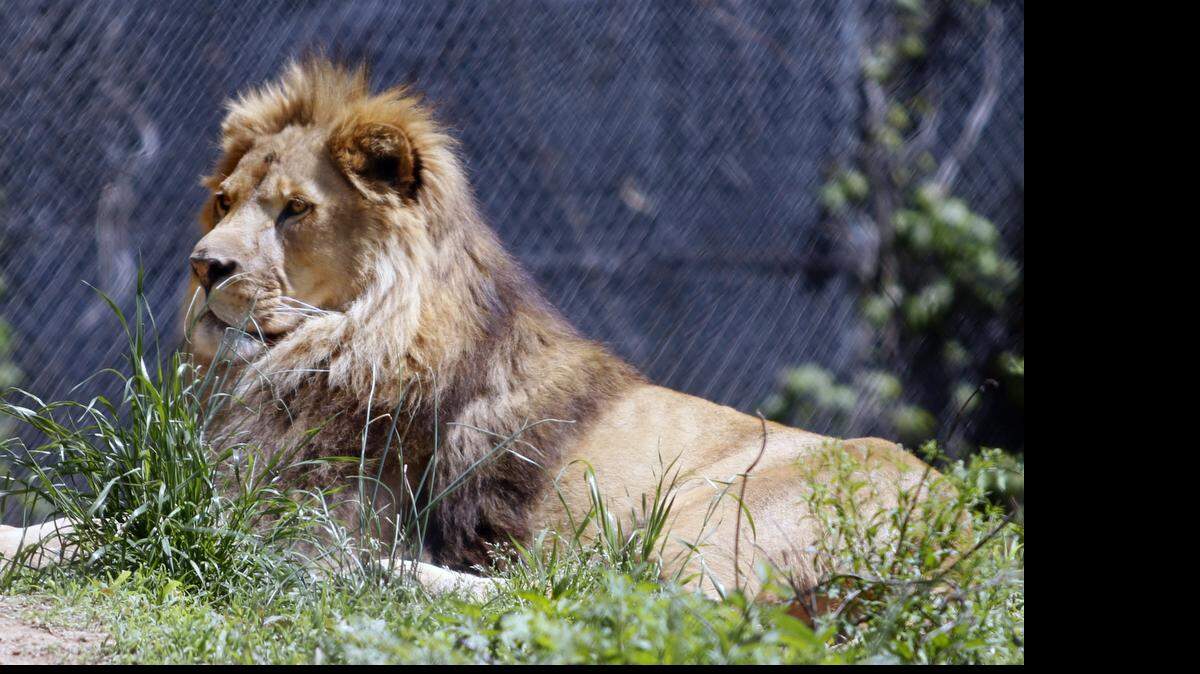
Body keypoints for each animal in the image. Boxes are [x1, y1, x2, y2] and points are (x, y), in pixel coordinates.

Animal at [3, 59, 936, 602]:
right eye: (225, 202)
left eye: (295, 211)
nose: (204, 266)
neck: (329, 341)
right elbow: (73, 522)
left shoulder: (296, 521)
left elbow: (108, 532)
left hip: (708, 519)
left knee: (624, 602)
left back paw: (393, 578)